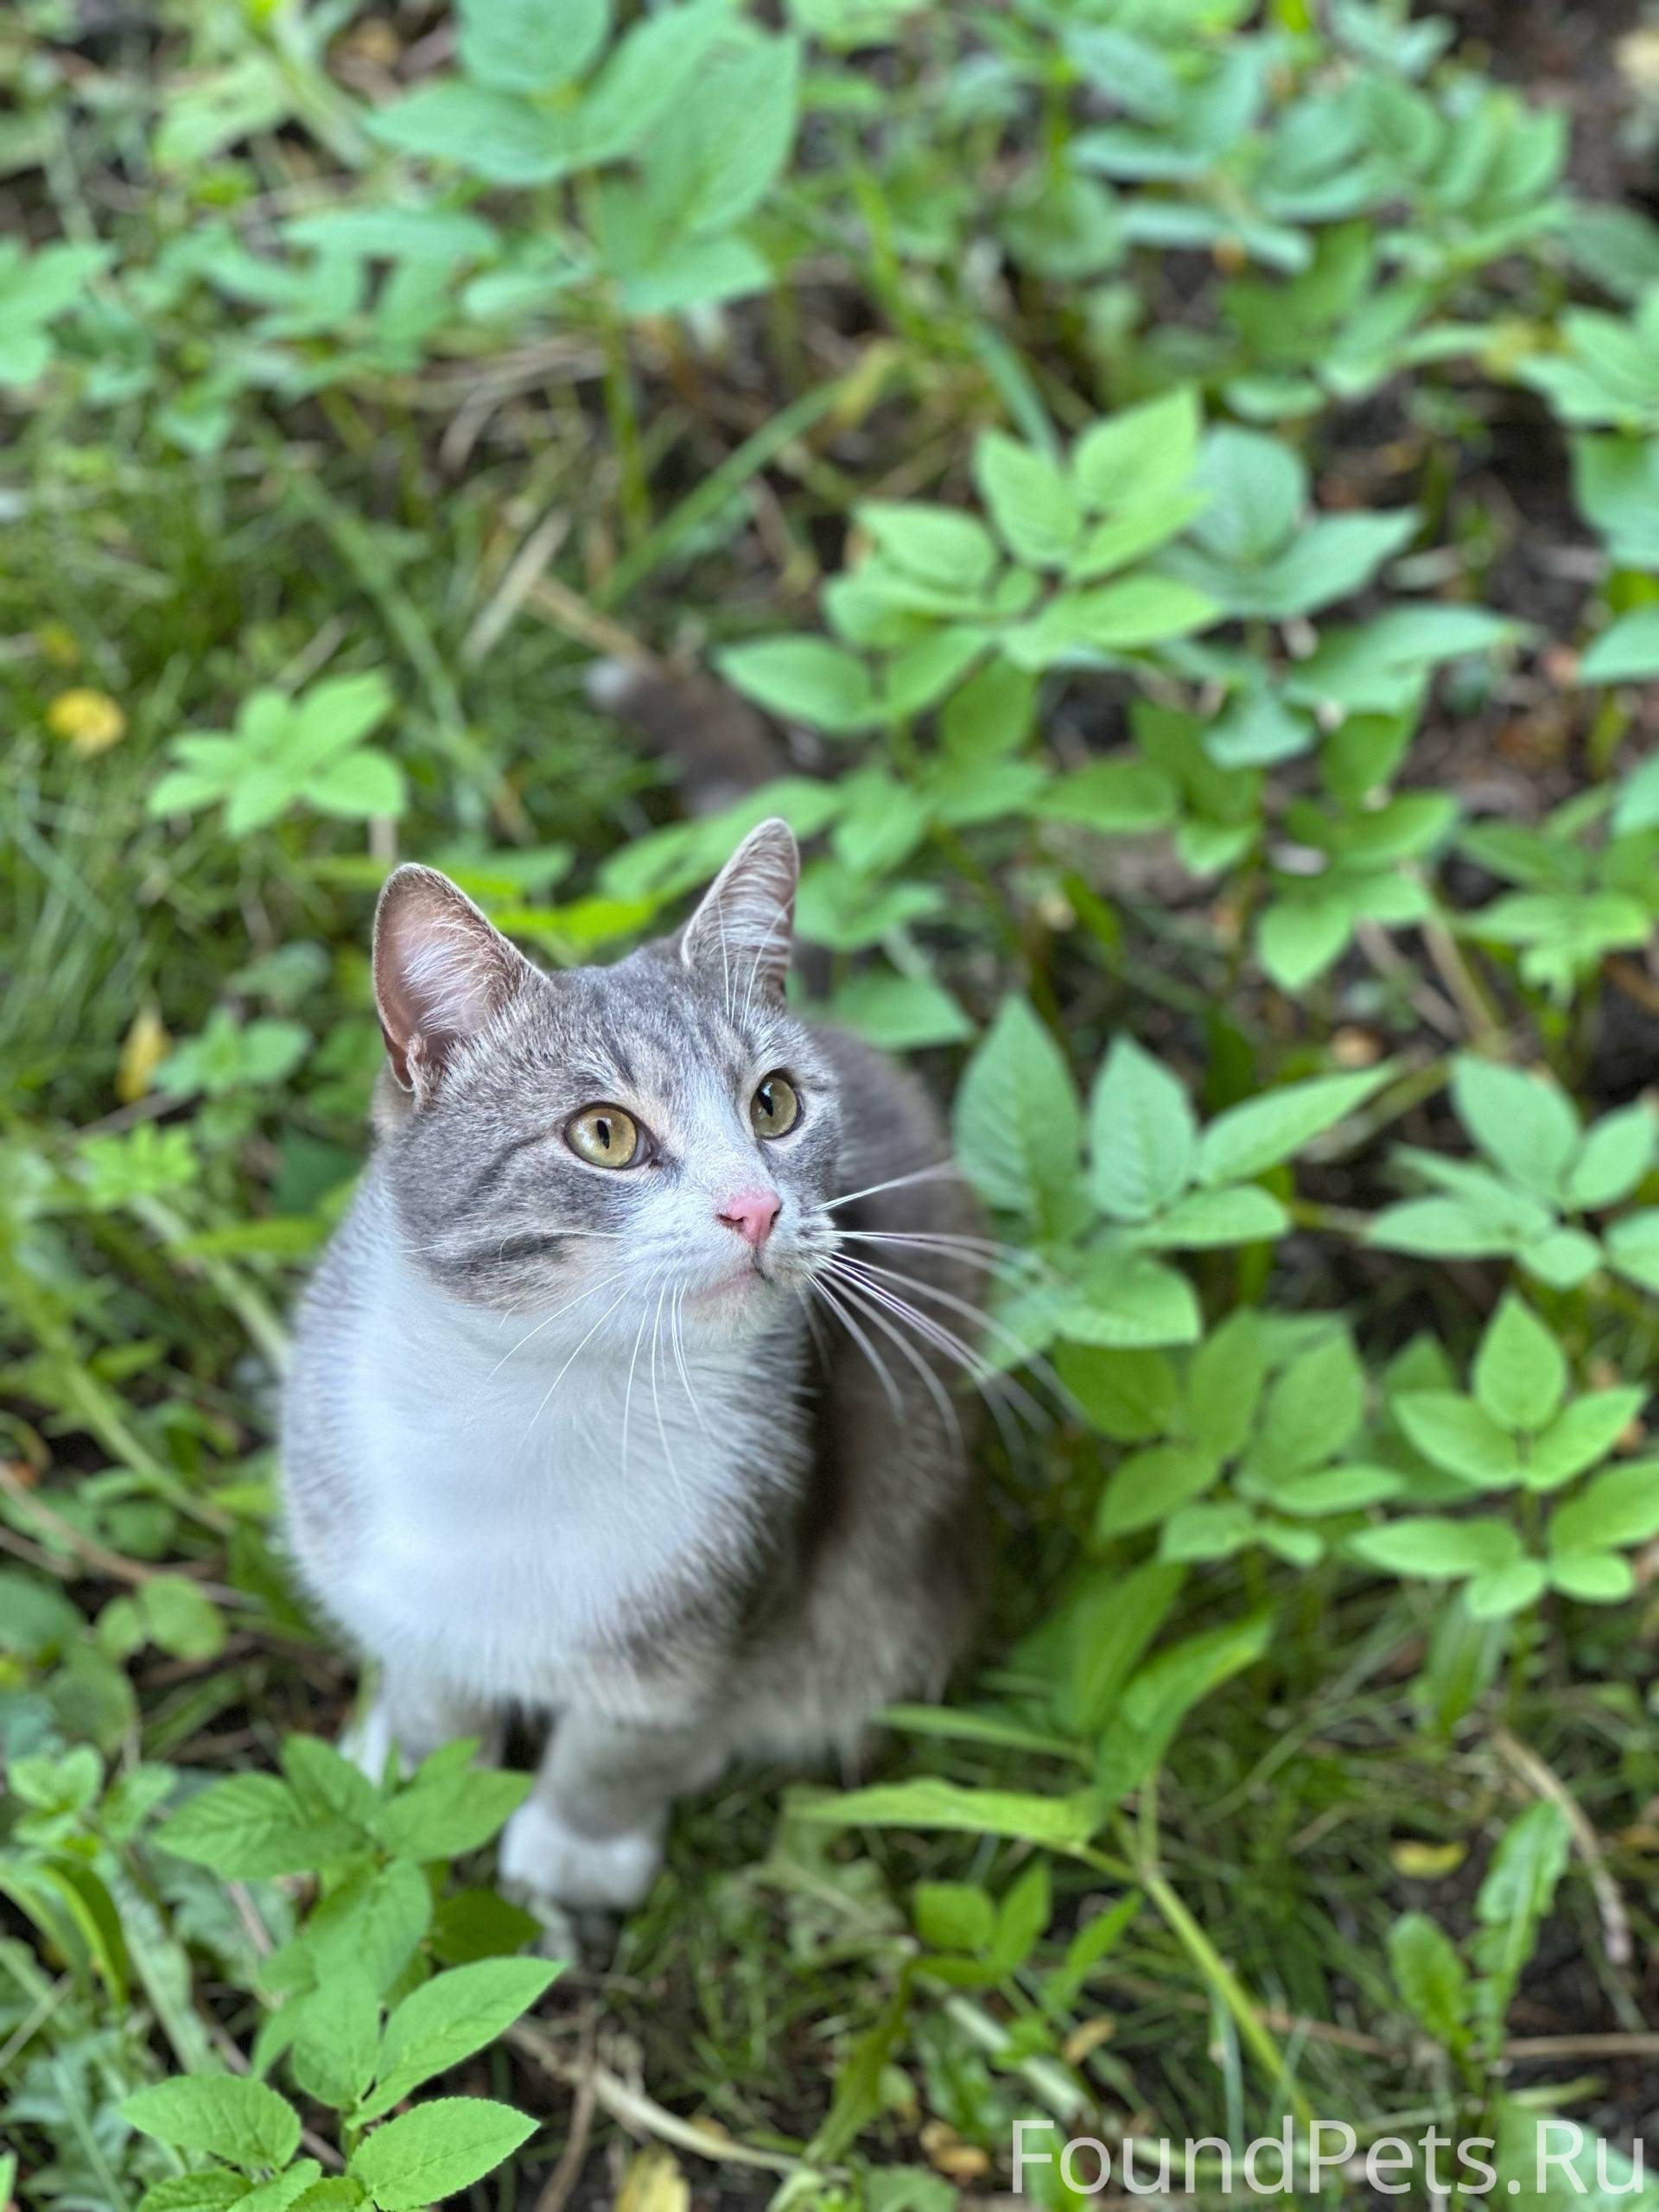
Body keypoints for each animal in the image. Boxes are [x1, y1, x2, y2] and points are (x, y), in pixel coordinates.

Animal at [281, 818, 986, 1920]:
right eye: (604, 1132)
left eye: (774, 1103)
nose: (757, 1206)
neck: (542, 1394)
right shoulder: (384, 1568)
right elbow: (435, 1701)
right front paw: (405, 1776)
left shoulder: (734, 1603)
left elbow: (630, 1742)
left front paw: (574, 1851)